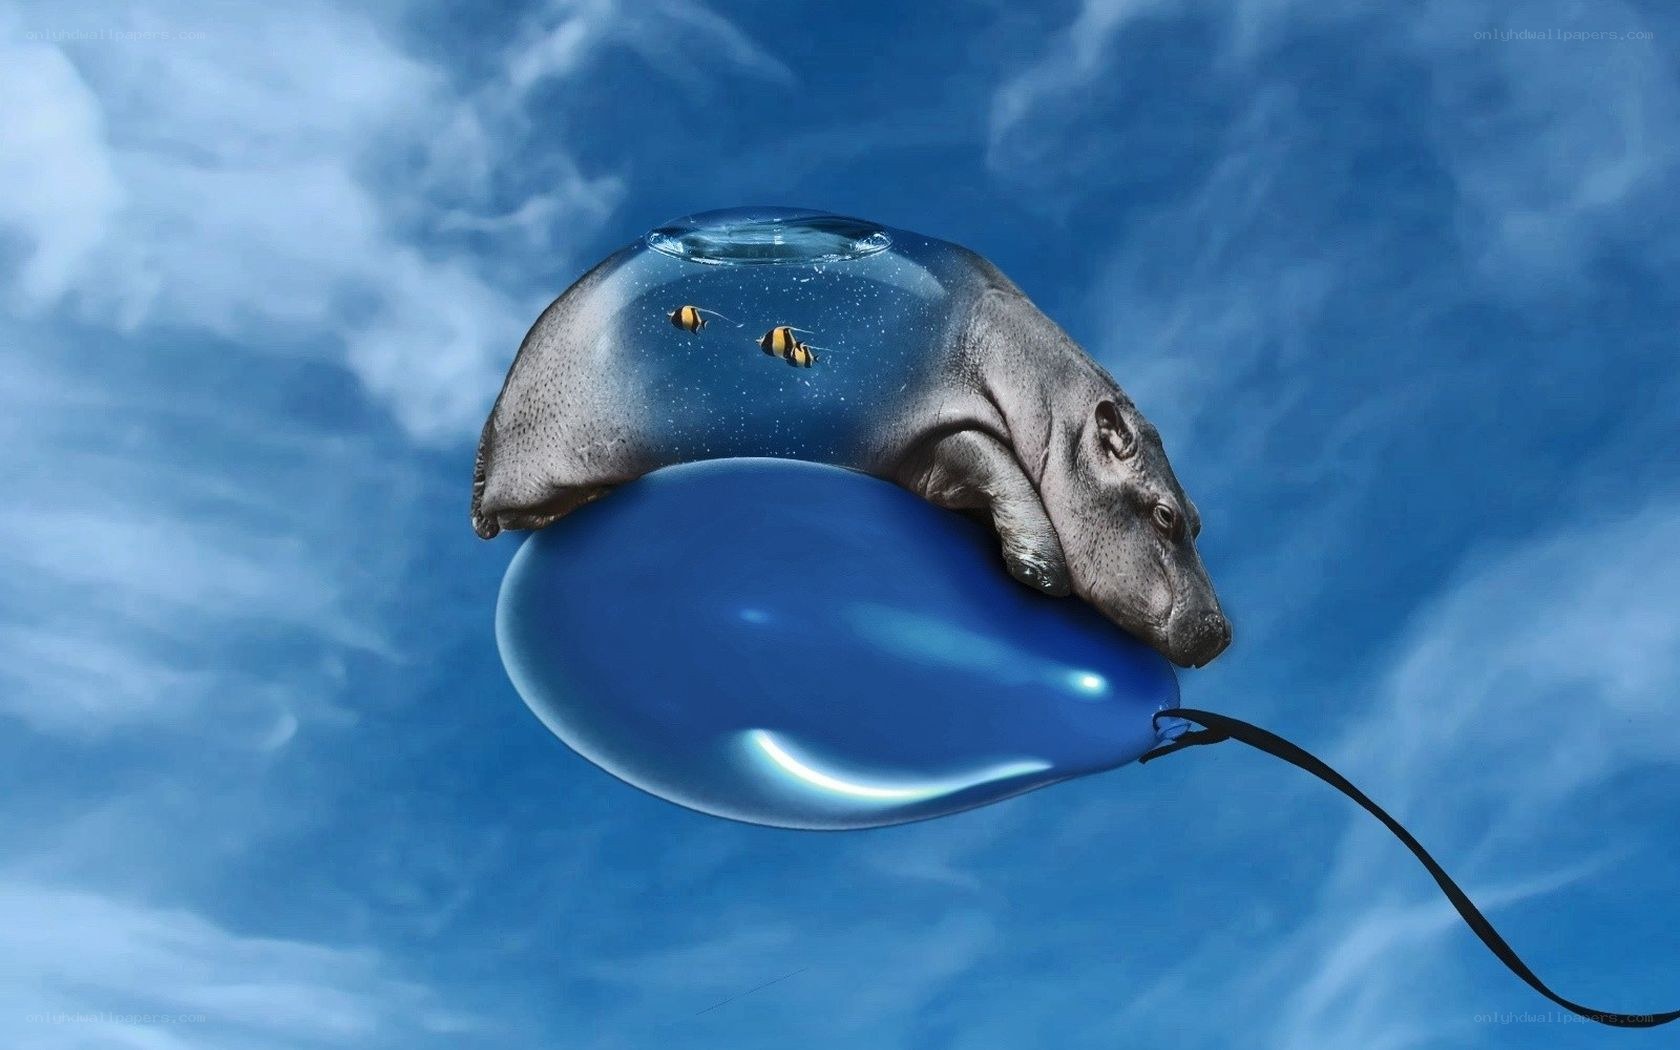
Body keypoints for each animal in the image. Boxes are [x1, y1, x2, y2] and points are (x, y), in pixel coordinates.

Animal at [471, 207, 1231, 667]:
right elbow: (997, 465)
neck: (1051, 410)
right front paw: (1042, 571)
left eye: (1196, 516)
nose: (1222, 633)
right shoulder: (940, 429)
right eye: (1164, 515)